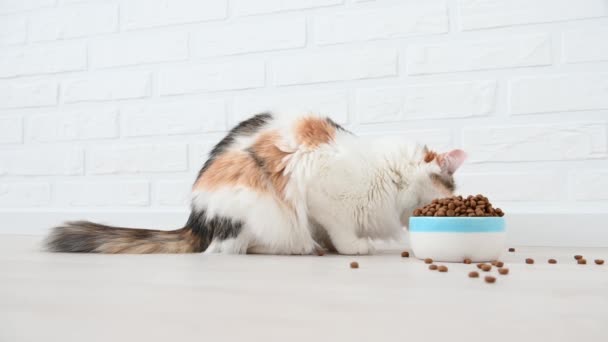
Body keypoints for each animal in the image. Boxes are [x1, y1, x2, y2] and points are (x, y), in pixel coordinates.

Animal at [46, 113, 466, 255]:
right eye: (452, 188)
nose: (455, 199)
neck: (390, 175)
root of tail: (196, 220)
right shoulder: (321, 196)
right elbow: (341, 232)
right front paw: (353, 248)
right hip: (256, 206)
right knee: (230, 250)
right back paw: (299, 249)